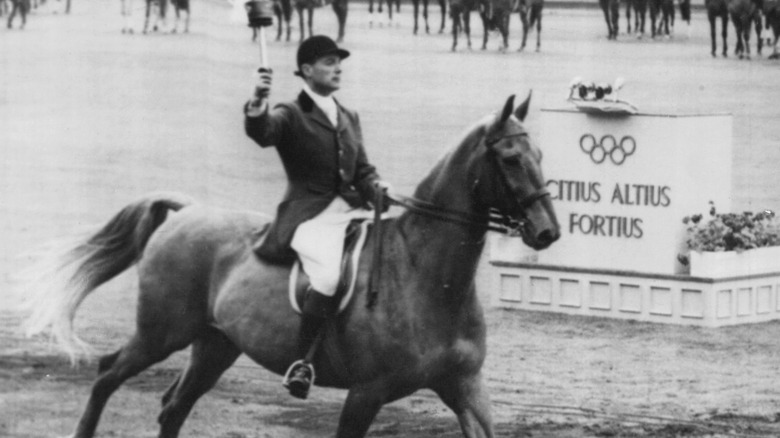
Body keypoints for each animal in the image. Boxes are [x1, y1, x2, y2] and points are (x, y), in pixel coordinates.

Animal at [16, 93, 556, 438]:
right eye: (510, 158)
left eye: (540, 152)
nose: (548, 231)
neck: (428, 276)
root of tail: (187, 210)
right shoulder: (366, 393)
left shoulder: (465, 386)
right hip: (161, 334)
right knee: (108, 375)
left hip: (214, 345)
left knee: (173, 408)